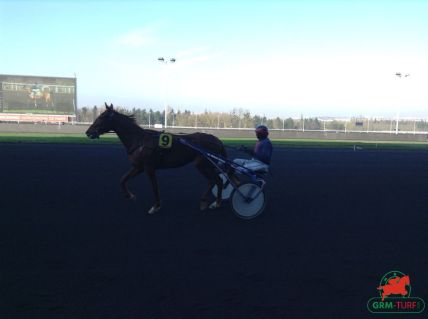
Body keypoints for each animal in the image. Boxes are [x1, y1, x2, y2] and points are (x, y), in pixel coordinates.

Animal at [85, 104, 226, 214]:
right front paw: (129, 195)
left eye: (101, 117)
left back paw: (212, 202)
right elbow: (122, 179)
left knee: (215, 180)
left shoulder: (149, 168)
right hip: (207, 166)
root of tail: (217, 140)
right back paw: (211, 202)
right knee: (215, 181)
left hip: (204, 165)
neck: (140, 141)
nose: (88, 132)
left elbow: (154, 187)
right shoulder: (138, 167)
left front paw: (156, 206)